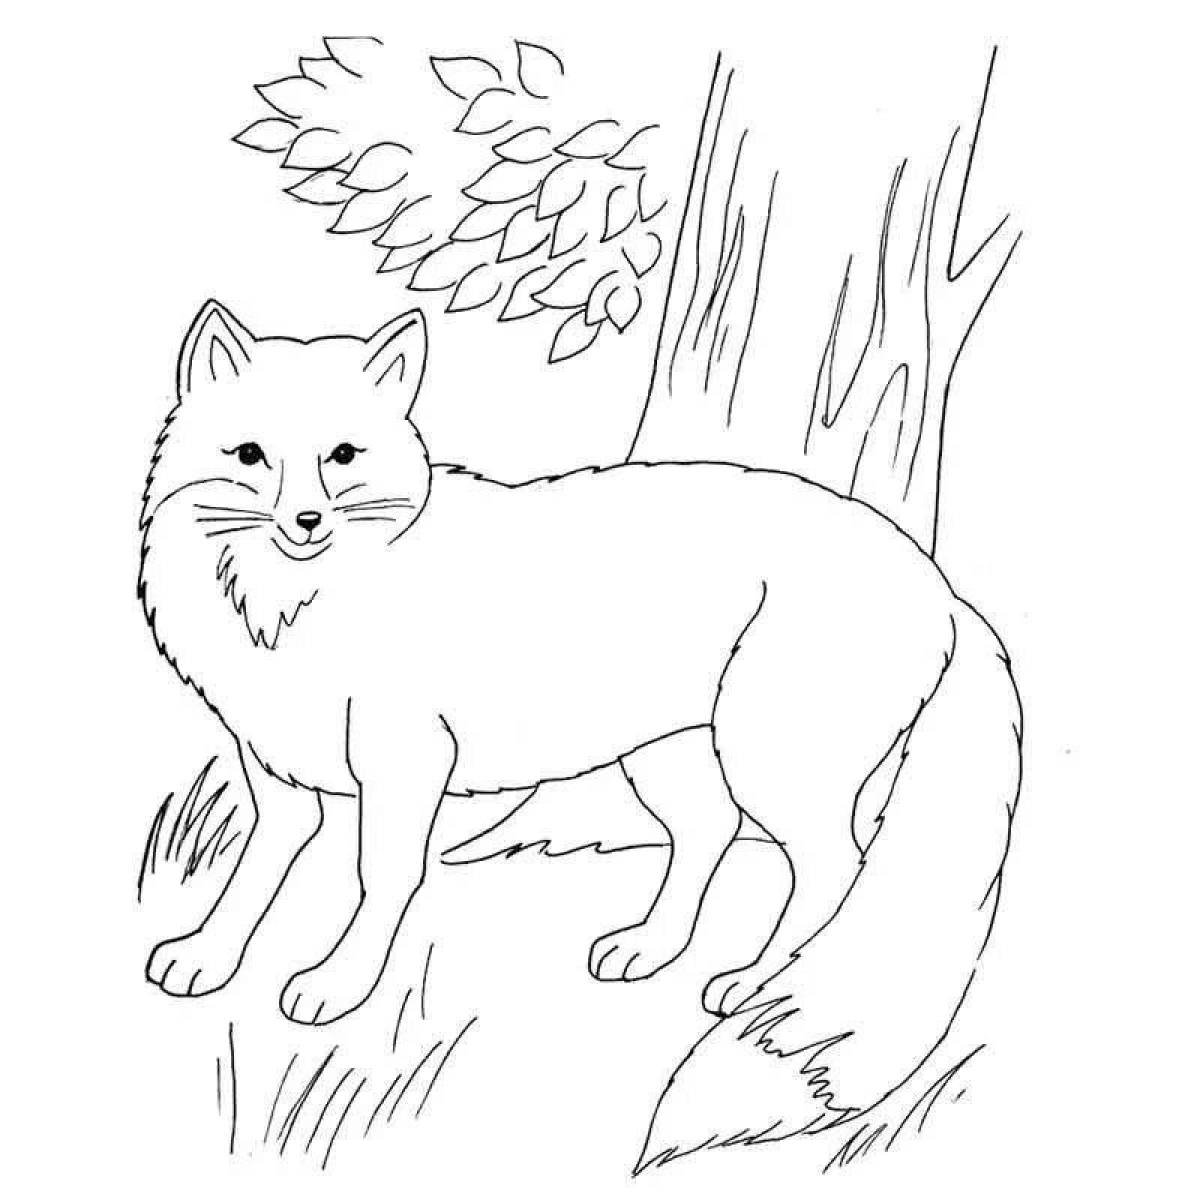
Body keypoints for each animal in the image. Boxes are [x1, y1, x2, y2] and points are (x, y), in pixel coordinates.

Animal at [140, 299, 1021, 1154]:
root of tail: (941, 583)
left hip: (768, 766)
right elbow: (252, 874)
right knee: (710, 832)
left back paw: (755, 984)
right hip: (669, 758)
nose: (307, 521)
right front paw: (205, 958)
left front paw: (335, 986)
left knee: (835, 864)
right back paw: (649, 947)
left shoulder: (403, 768)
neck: (291, 607)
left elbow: (380, 879)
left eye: (344, 454)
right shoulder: (275, 772)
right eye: (251, 454)